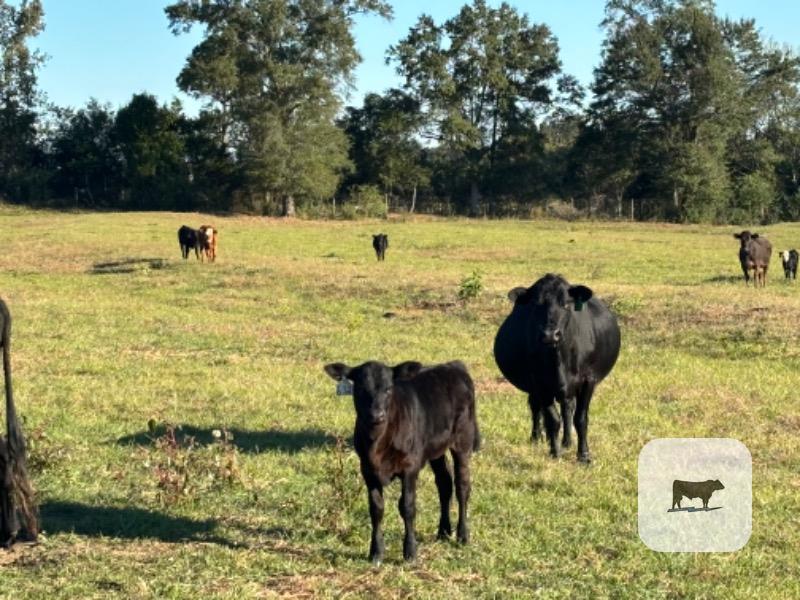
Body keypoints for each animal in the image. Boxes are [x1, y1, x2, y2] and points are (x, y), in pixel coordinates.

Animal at [323, 360, 479, 564]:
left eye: (389, 388)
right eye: (360, 388)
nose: (377, 415)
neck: (377, 443)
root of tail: (453, 365)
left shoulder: (410, 467)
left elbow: (407, 506)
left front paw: (410, 552)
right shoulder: (367, 470)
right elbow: (376, 509)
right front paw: (376, 552)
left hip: (463, 441)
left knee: (462, 485)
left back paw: (462, 535)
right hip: (436, 449)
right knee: (444, 483)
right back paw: (443, 532)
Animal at [493, 274, 621, 463]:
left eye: (566, 304)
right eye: (535, 305)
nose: (550, 335)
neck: (559, 360)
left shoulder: (588, 380)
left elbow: (580, 418)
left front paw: (584, 455)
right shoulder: (539, 382)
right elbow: (552, 419)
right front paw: (555, 452)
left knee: (567, 408)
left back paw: (567, 441)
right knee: (537, 407)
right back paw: (538, 438)